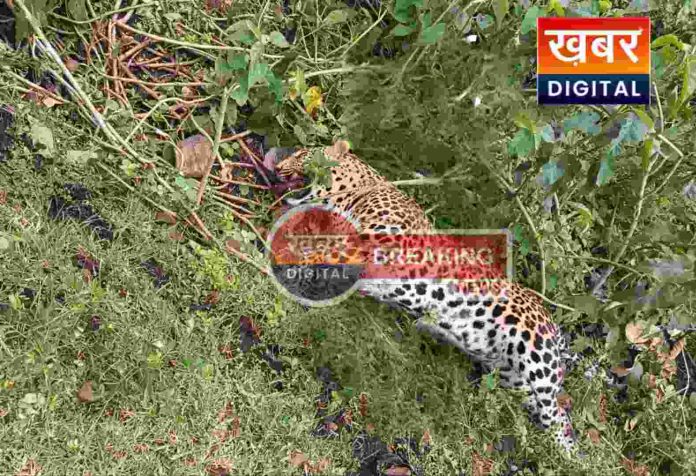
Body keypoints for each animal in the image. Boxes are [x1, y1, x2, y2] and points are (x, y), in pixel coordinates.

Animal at [269, 140, 583, 454]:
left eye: (302, 154)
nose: (277, 167)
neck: (357, 191)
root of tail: (552, 324)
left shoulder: (378, 245)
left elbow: (327, 250)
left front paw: (285, 253)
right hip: (514, 377)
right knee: (550, 412)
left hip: (536, 357)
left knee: (559, 414)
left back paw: (567, 456)